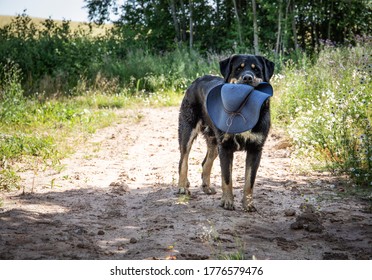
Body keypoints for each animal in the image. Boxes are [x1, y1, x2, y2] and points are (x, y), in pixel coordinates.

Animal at [176, 54, 274, 211]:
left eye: (256, 69)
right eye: (238, 68)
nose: (247, 77)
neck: (244, 110)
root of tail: (197, 80)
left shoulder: (255, 149)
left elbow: (249, 181)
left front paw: (248, 204)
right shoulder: (226, 148)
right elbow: (227, 177)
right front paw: (227, 201)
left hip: (215, 143)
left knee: (205, 162)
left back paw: (206, 187)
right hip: (187, 130)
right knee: (183, 160)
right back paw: (182, 187)